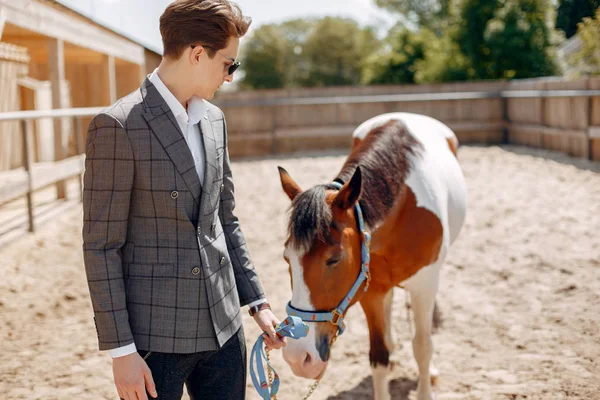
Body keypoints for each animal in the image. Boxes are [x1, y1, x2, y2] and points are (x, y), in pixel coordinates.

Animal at [278, 112, 468, 400]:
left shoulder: (424, 285)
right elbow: (379, 356)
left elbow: (423, 348)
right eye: (287, 258)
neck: (402, 206)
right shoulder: (370, 292)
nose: (298, 357)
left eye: (334, 259)